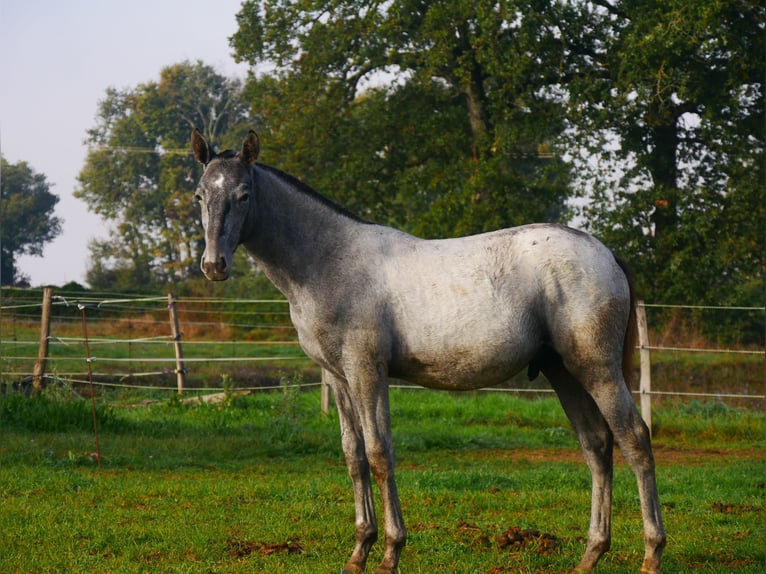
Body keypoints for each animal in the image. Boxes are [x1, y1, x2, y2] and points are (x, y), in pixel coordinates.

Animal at [190, 130, 664, 574]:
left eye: (244, 194)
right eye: (200, 194)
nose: (214, 266)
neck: (328, 260)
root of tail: (606, 253)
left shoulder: (367, 370)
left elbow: (380, 453)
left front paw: (389, 554)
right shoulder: (338, 377)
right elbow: (353, 456)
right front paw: (358, 553)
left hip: (596, 368)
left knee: (634, 439)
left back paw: (651, 554)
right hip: (562, 370)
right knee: (597, 445)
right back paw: (590, 555)